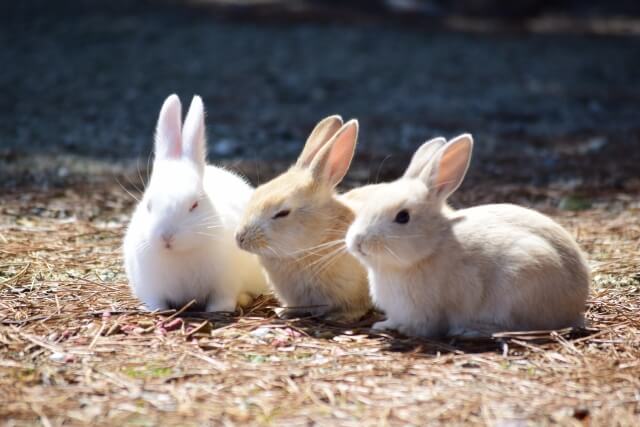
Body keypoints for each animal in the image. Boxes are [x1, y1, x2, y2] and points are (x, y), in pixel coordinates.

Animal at [124, 95, 266, 312]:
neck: (180, 253)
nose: (166, 236)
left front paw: (218, 310)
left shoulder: (225, 283)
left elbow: (222, 298)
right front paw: (158, 310)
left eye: (194, 205)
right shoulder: (151, 288)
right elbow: (157, 301)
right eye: (148, 205)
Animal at [344, 135, 592, 338]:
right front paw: (383, 326)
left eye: (403, 217)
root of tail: (576, 302)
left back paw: (470, 330)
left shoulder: (428, 311)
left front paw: (404, 330)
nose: (358, 242)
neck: (431, 248)